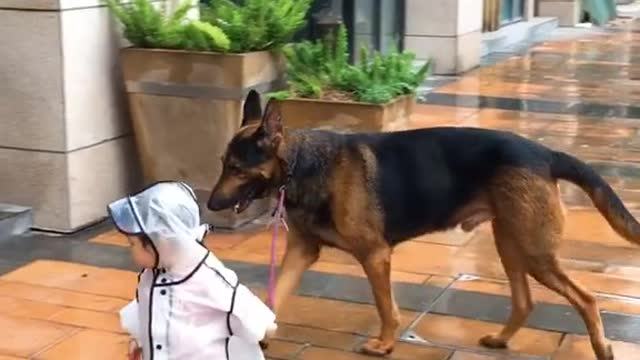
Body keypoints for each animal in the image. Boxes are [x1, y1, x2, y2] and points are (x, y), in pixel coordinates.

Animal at [209, 90, 636, 360]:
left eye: (238, 169)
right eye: (222, 164)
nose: (211, 205)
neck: (304, 163)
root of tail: (545, 153)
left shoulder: (375, 256)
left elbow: (386, 308)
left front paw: (384, 345)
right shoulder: (301, 252)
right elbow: (275, 296)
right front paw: (260, 333)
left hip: (534, 252)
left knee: (586, 298)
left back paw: (602, 348)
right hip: (511, 244)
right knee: (525, 301)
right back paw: (501, 339)